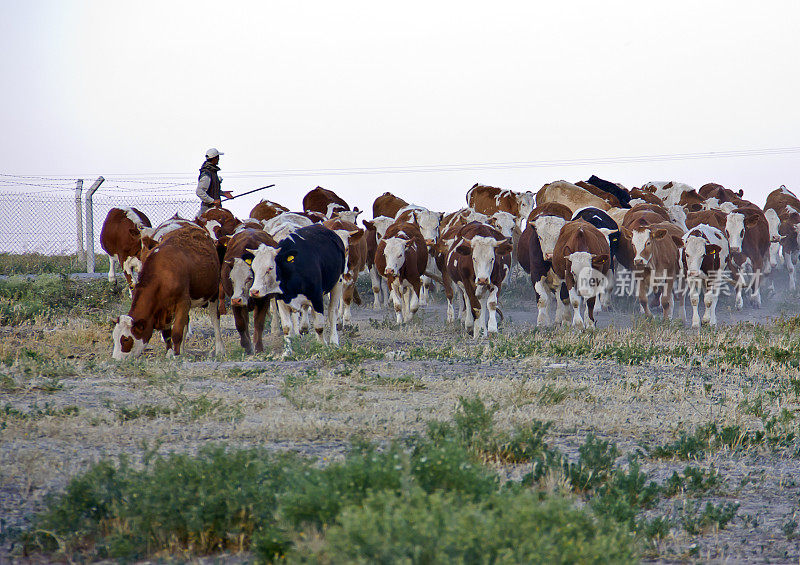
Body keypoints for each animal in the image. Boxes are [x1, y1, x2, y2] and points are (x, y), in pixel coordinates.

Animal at [108, 225, 223, 356]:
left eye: (126, 339)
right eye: (114, 337)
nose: (116, 359)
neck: (163, 274)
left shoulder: (183, 302)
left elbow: (177, 332)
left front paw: (176, 356)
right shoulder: (163, 308)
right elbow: (167, 333)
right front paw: (170, 353)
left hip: (213, 294)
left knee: (215, 320)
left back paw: (220, 349)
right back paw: (182, 350)